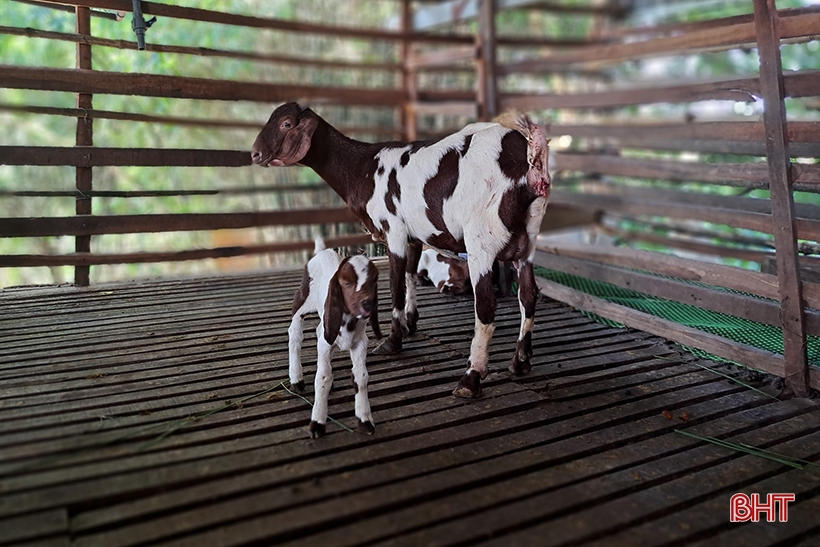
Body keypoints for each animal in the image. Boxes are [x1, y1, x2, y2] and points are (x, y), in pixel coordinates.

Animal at [255, 103, 552, 400]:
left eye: (286, 123)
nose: (256, 154)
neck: (363, 167)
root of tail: (528, 157)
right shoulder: (413, 236)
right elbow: (410, 275)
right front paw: (410, 323)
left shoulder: (393, 229)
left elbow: (395, 283)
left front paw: (392, 341)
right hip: (529, 237)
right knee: (528, 295)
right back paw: (520, 361)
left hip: (481, 238)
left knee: (486, 305)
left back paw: (471, 378)